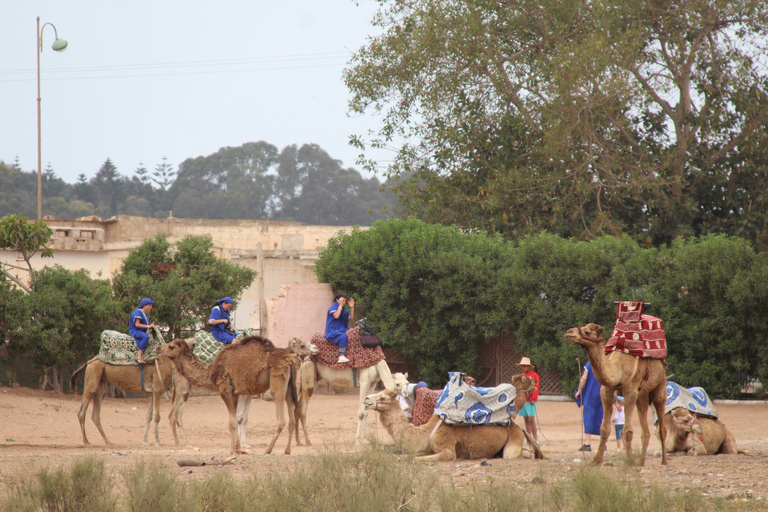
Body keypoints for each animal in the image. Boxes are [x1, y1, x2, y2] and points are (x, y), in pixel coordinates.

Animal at [157, 336, 300, 456]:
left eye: (171, 346)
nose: (158, 348)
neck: (210, 372)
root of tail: (290, 361)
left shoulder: (224, 389)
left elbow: (231, 422)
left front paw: (232, 450)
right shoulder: (235, 393)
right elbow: (236, 419)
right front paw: (238, 448)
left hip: (278, 384)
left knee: (281, 419)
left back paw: (268, 450)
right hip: (289, 388)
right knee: (292, 419)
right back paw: (287, 450)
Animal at [364, 374, 544, 462]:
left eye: (383, 397)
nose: (366, 399)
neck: (425, 432)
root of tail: (519, 427)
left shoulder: (448, 449)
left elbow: (423, 458)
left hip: (513, 441)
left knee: (515, 454)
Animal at [564, 324, 664, 468]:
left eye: (587, 332)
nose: (568, 332)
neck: (618, 369)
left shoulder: (631, 392)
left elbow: (627, 431)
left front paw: (630, 460)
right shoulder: (606, 391)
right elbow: (604, 428)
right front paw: (596, 460)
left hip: (660, 387)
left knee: (662, 425)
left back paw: (664, 461)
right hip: (642, 397)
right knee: (645, 428)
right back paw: (641, 462)